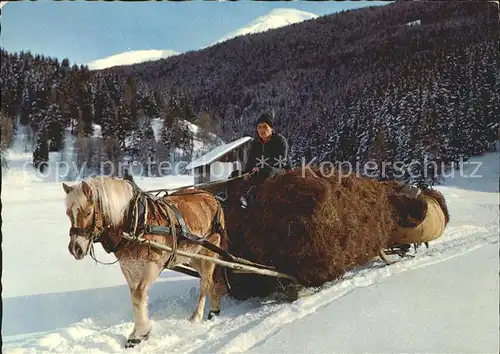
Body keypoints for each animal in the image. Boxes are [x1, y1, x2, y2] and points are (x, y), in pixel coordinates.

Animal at [60, 176, 229, 348]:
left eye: (88, 212)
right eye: (68, 213)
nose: (75, 248)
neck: (135, 221)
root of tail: (213, 198)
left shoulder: (152, 266)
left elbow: (139, 295)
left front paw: (140, 333)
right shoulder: (129, 266)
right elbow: (135, 298)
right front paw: (139, 332)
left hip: (209, 252)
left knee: (205, 283)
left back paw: (197, 316)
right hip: (193, 256)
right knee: (212, 279)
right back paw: (215, 307)